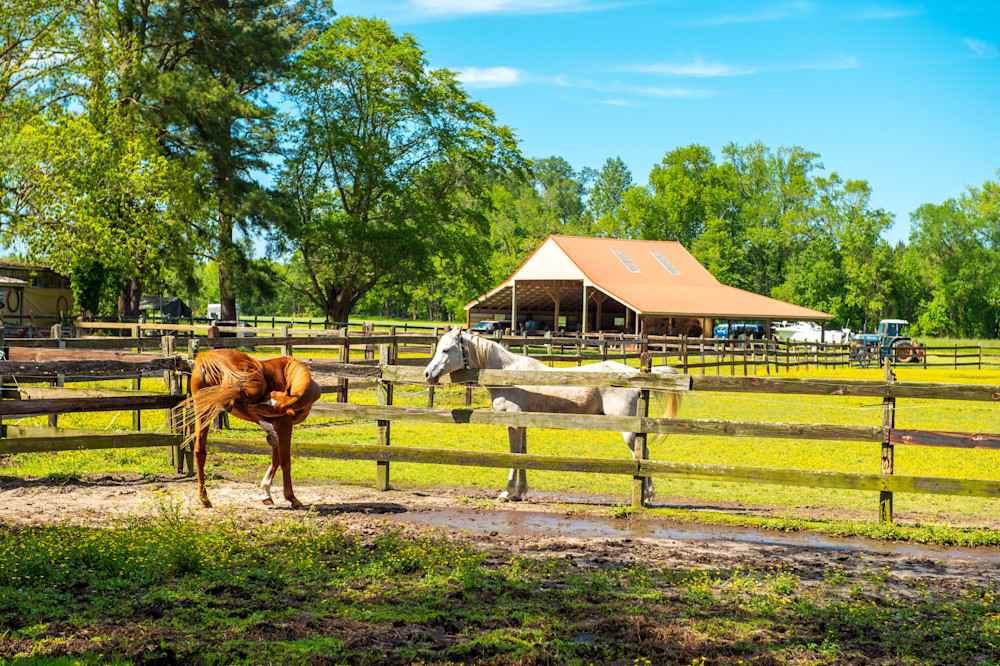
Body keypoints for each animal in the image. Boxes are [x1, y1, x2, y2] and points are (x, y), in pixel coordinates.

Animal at [180, 348, 321, 509]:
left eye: (269, 407)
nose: (254, 406)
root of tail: (209, 357)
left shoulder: (279, 425)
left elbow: (276, 459)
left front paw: (266, 493)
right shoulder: (283, 423)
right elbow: (285, 461)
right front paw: (292, 498)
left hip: (204, 409)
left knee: (200, 451)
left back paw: (205, 499)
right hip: (249, 389)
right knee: (234, 403)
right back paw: (267, 428)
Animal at [423, 327, 681, 503]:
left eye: (446, 350)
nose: (427, 374)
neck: (508, 374)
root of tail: (634, 374)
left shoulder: (512, 422)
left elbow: (513, 454)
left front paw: (507, 492)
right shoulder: (523, 424)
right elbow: (522, 454)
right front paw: (521, 492)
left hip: (628, 429)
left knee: (643, 454)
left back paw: (647, 496)